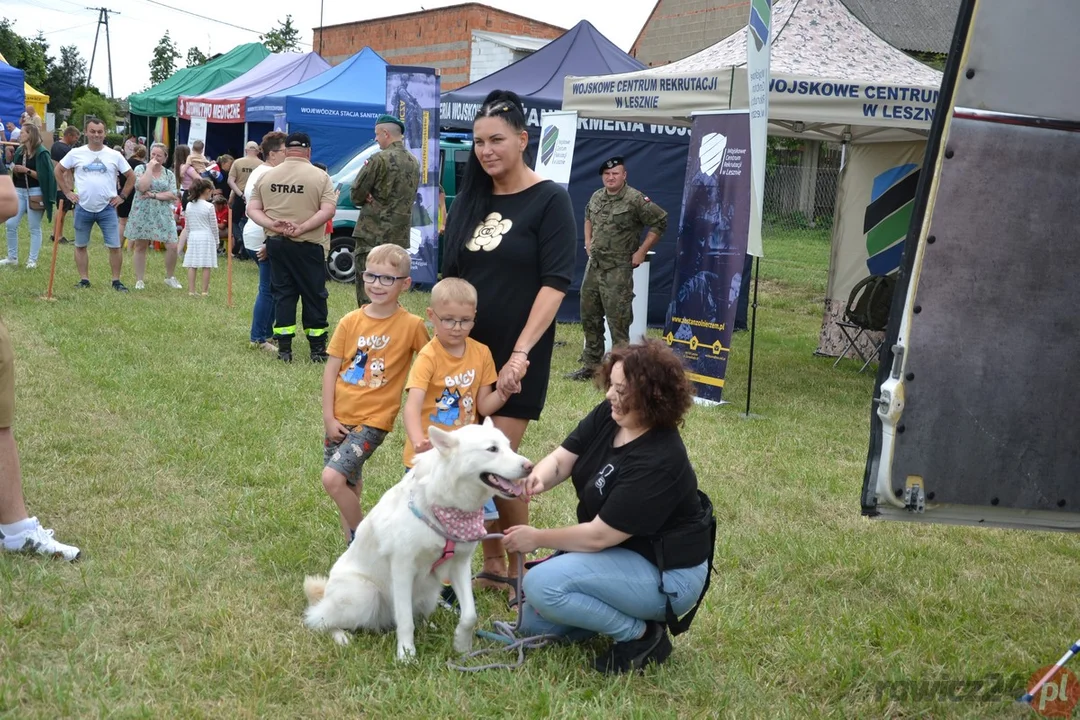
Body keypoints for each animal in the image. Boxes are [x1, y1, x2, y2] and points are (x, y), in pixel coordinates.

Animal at [304, 418, 531, 660]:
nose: (530, 466)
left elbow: (469, 614)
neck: (439, 508)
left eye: (509, 446)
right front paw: (406, 655)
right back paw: (341, 636)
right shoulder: (403, 569)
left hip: (429, 593)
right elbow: (405, 621)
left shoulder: (460, 564)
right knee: (320, 619)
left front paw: (462, 646)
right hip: (365, 595)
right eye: (492, 449)